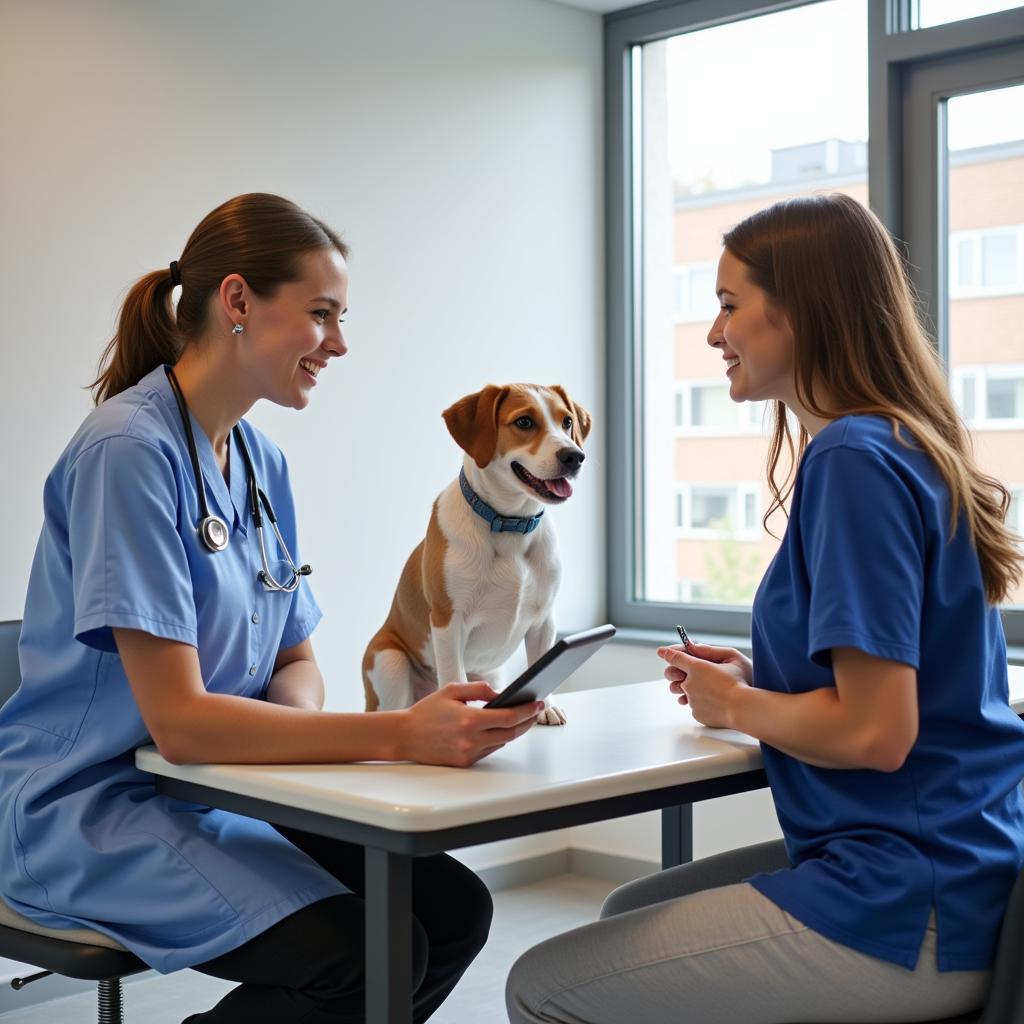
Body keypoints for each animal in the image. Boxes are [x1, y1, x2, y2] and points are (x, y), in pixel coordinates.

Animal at [364, 385, 593, 729]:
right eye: (524, 422)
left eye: (567, 422)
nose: (574, 456)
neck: (511, 526)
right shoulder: (448, 620)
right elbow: (453, 677)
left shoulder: (544, 620)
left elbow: (542, 661)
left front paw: (547, 706)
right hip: (389, 662)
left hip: (492, 674)